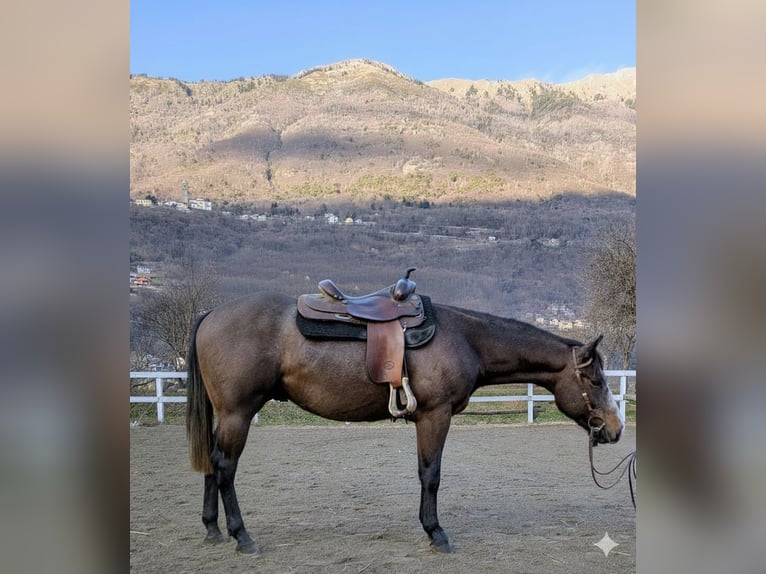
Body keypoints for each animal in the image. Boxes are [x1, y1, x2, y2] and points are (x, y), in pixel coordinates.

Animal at [185, 291, 624, 555]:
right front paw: (436, 533)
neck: (465, 338)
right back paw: (242, 537)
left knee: (211, 464)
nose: (616, 428)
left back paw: (212, 529)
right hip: (238, 413)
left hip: (226, 416)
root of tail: (209, 315)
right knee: (225, 468)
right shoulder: (434, 415)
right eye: (595, 380)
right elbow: (430, 474)